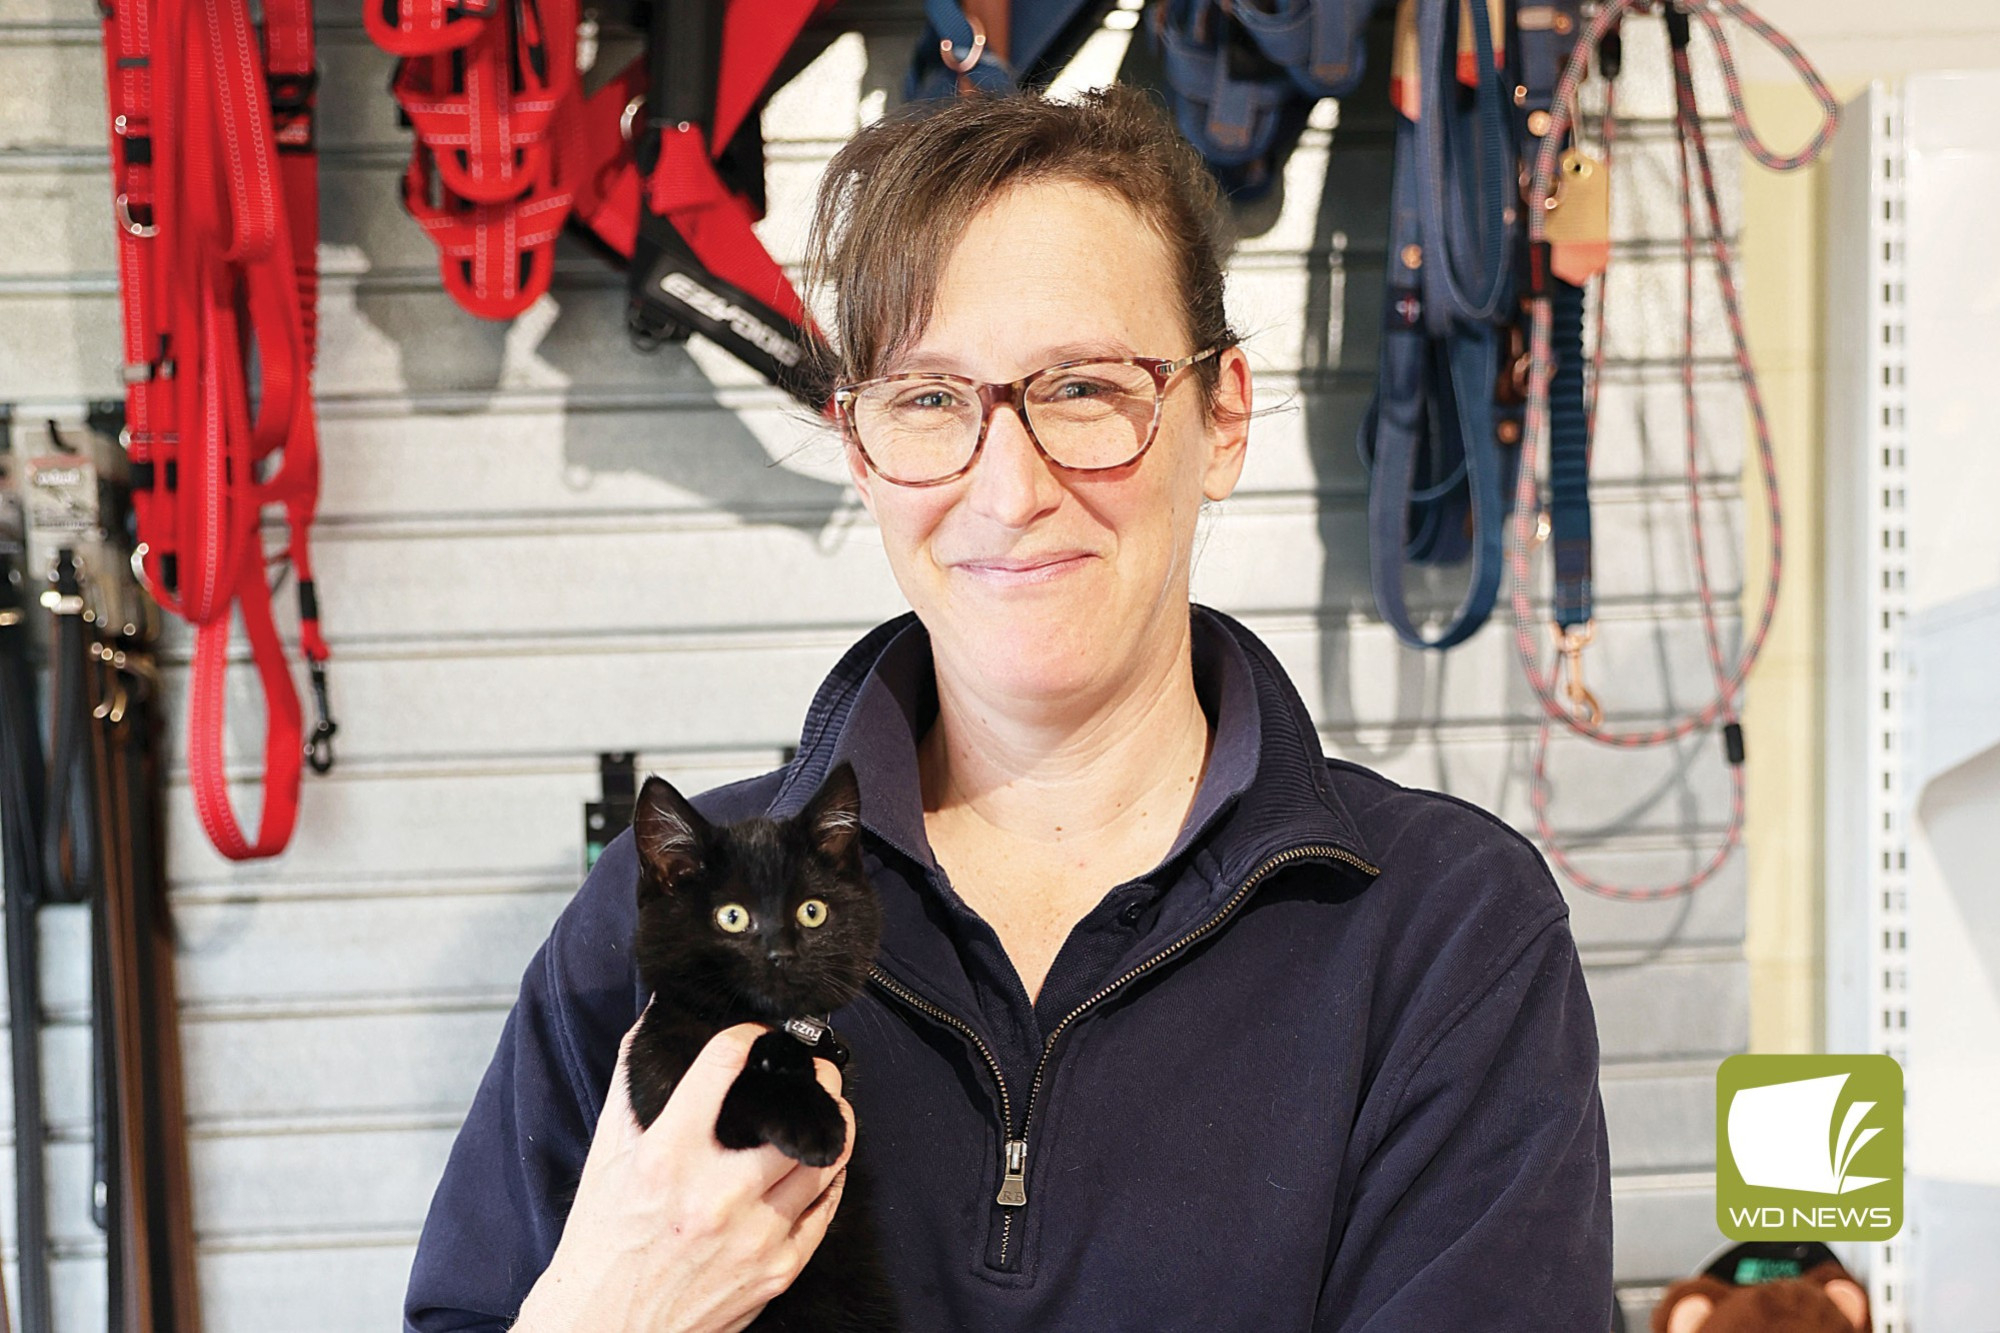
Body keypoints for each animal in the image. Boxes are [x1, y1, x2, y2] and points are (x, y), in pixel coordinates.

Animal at [632, 756, 900, 1328]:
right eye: (731, 916)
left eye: (812, 912)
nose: (781, 953)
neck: (762, 1019)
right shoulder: (662, 1083)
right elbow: (758, 1063)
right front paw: (815, 1123)